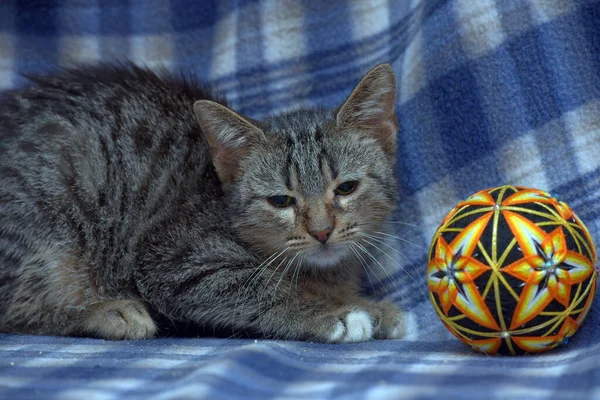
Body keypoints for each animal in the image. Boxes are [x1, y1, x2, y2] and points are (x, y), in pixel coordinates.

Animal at [0, 61, 406, 340]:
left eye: (346, 188)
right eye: (280, 200)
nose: (322, 232)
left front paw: (368, 306)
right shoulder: (169, 260)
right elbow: (257, 290)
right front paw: (332, 313)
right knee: (15, 311)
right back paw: (108, 313)